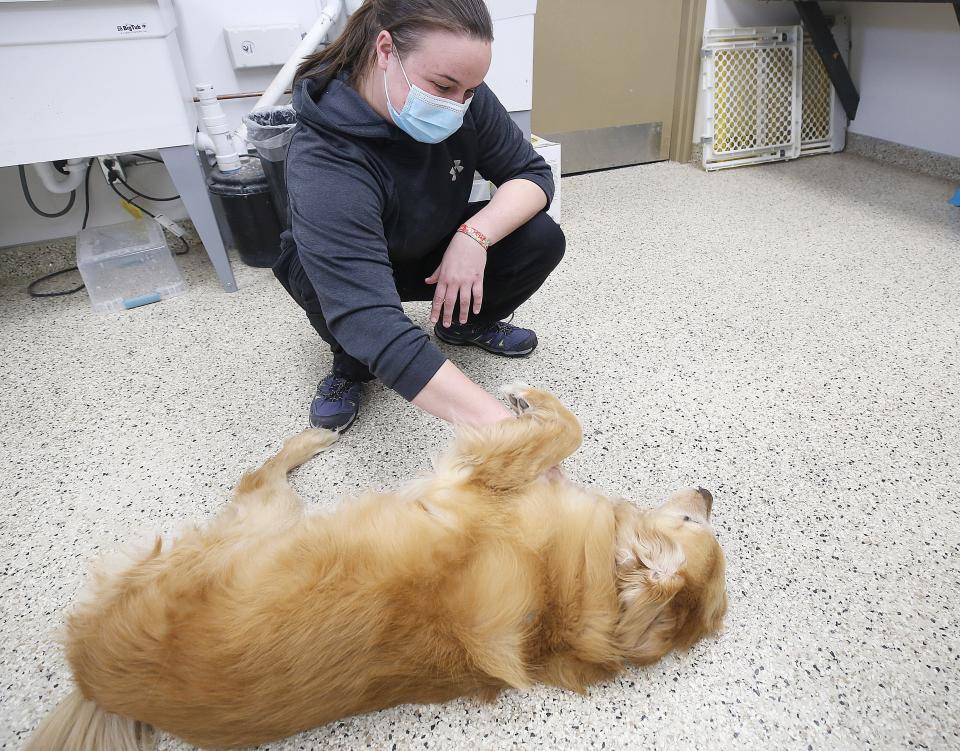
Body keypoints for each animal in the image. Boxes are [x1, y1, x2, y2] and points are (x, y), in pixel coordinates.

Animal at [26, 384, 728, 748]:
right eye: (696, 522)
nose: (707, 492)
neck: (578, 592)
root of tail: (94, 680)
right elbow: (566, 431)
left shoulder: (473, 474)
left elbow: (566, 428)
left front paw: (526, 395)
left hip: (258, 524)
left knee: (257, 475)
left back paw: (311, 439)